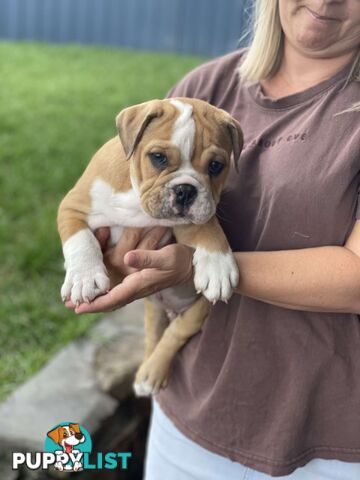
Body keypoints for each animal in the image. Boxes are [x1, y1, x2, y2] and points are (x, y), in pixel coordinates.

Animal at [57, 98, 243, 398]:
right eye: (158, 157)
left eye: (216, 166)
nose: (185, 191)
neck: (135, 196)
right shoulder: (72, 205)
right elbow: (80, 240)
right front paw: (83, 278)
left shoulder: (189, 221)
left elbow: (208, 227)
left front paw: (218, 266)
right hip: (154, 309)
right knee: (154, 335)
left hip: (198, 311)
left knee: (175, 333)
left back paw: (151, 374)